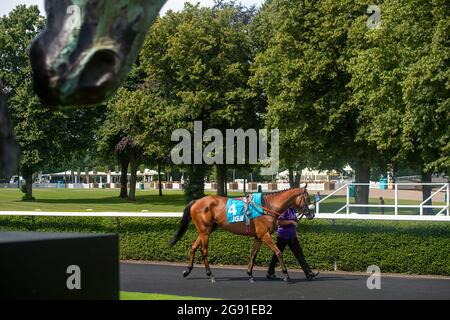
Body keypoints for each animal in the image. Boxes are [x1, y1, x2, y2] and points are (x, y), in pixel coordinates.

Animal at [167, 188, 314, 282]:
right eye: (307, 198)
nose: (311, 214)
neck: (268, 207)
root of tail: (196, 201)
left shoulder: (259, 236)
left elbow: (253, 254)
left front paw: (250, 274)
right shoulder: (265, 234)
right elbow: (278, 252)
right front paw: (286, 275)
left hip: (206, 230)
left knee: (193, 247)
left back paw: (187, 271)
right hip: (205, 231)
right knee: (204, 251)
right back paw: (210, 275)